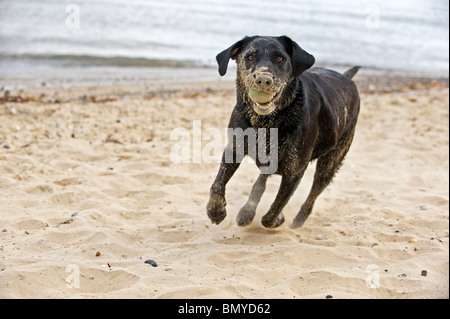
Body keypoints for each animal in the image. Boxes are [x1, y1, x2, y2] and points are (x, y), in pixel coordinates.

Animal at [207, 36, 358, 229]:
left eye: (280, 58)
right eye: (250, 57)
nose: (263, 80)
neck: (267, 121)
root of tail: (347, 78)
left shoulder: (295, 171)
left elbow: (275, 210)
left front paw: (278, 219)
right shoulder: (234, 148)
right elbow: (217, 184)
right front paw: (216, 211)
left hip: (330, 162)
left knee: (312, 196)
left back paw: (297, 221)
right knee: (261, 182)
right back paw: (247, 212)